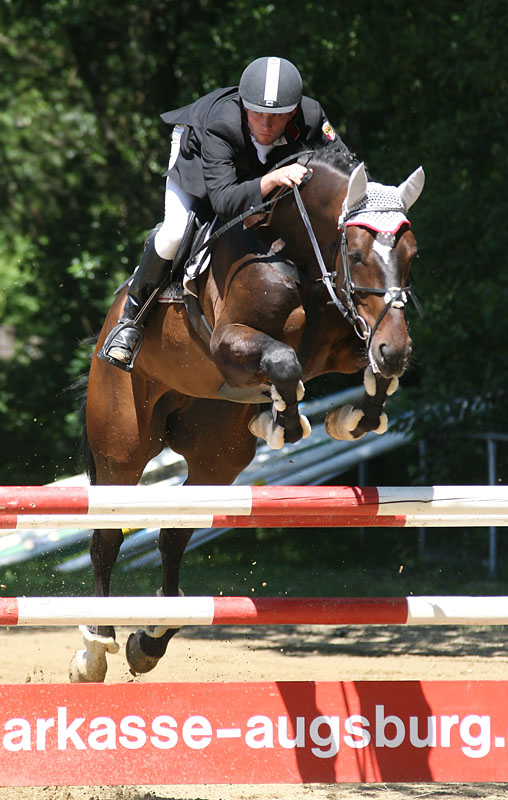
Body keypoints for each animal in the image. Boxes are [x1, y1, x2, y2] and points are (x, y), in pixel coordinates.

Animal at [69, 150, 422, 680]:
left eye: (411, 255)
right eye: (358, 255)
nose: (396, 350)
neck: (296, 250)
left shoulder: (346, 343)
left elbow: (367, 371)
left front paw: (349, 419)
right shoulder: (230, 341)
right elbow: (284, 361)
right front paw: (285, 423)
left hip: (216, 457)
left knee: (173, 537)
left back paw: (151, 638)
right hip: (122, 449)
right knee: (107, 539)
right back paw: (95, 647)